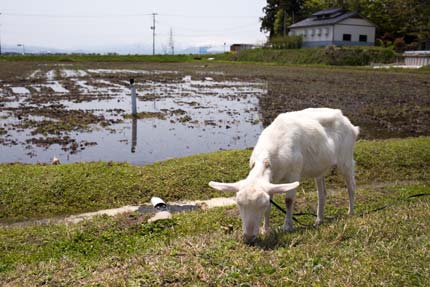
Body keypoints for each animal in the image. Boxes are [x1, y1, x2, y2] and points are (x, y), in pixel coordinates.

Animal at [208, 108, 360, 243]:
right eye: (239, 204)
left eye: (261, 205)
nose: (249, 238)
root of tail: (350, 125)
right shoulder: (272, 181)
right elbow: (271, 204)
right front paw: (265, 230)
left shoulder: (294, 173)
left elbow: (289, 200)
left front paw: (287, 226)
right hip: (320, 167)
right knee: (322, 193)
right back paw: (318, 220)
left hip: (346, 159)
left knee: (351, 187)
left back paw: (351, 213)